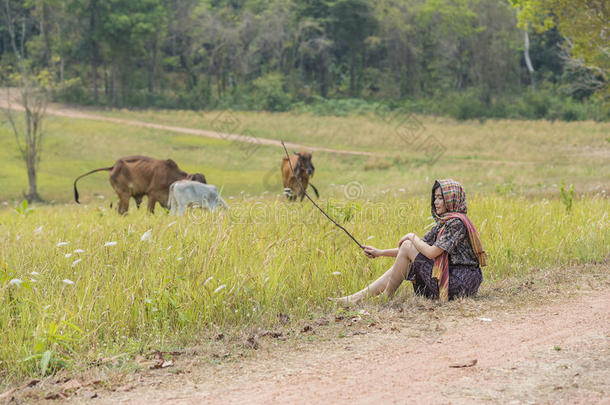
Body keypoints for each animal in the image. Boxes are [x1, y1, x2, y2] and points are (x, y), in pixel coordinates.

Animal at [72, 155, 207, 213]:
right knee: (122, 210)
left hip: (122, 196)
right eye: (196, 185)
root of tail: (113, 167)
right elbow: (150, 211)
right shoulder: (152, 196)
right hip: (125, 195)